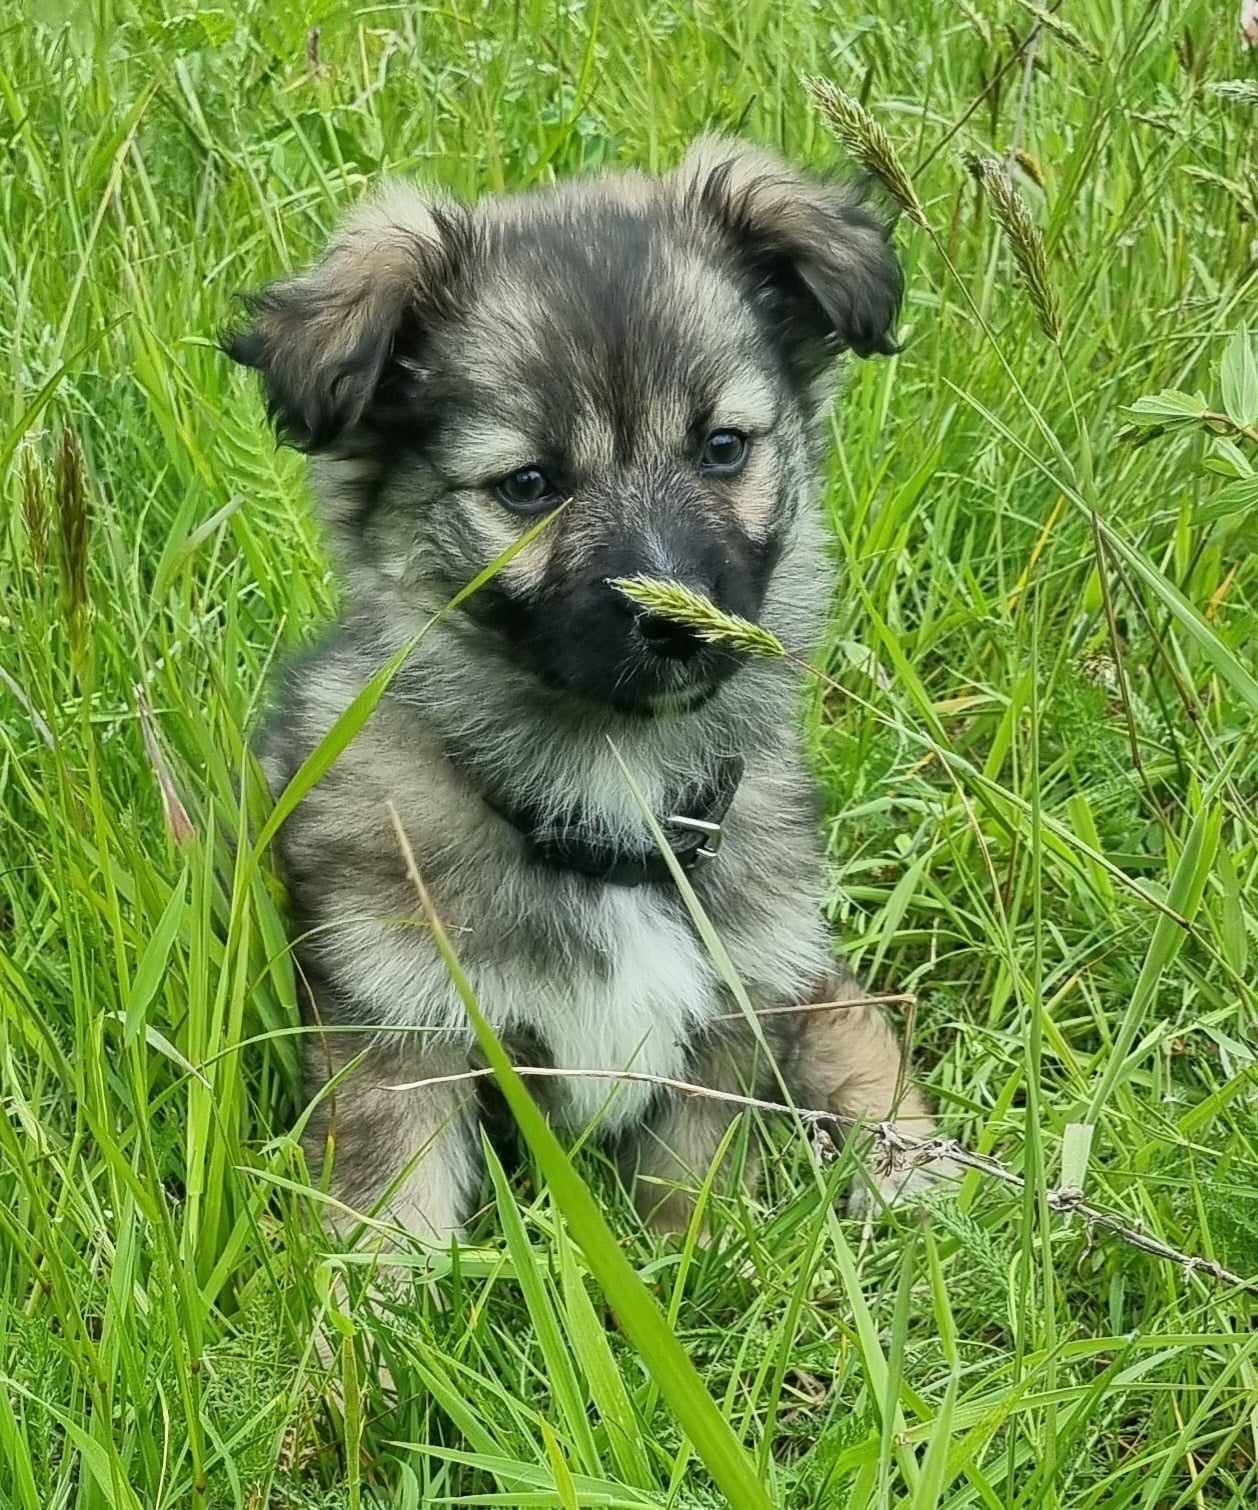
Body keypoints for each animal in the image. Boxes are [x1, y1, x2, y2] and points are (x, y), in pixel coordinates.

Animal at [228, 135, 954, 1244]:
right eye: (528, 487)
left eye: (722, 447)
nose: (677, 621)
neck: (615, 787)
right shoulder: (404, 1028)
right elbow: (395, 1211)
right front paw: (379, 1294)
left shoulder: (728, 1020)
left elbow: (690, 1200)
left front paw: (696, 1264)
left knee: (851, 1027)